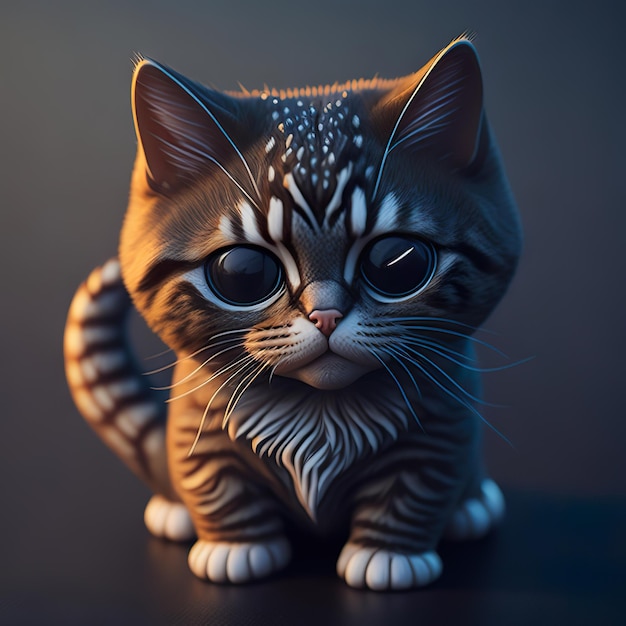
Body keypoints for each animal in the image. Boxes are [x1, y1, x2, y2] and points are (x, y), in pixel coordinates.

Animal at [64, 36, 520, 588]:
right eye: (243, 273)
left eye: (398, 264)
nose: (325, 316)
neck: (319, 411)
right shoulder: (197, 423)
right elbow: (214, 481)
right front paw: (236, 548)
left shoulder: (443, 424)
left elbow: (416, 488)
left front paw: (388, 556)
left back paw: (471, 507)